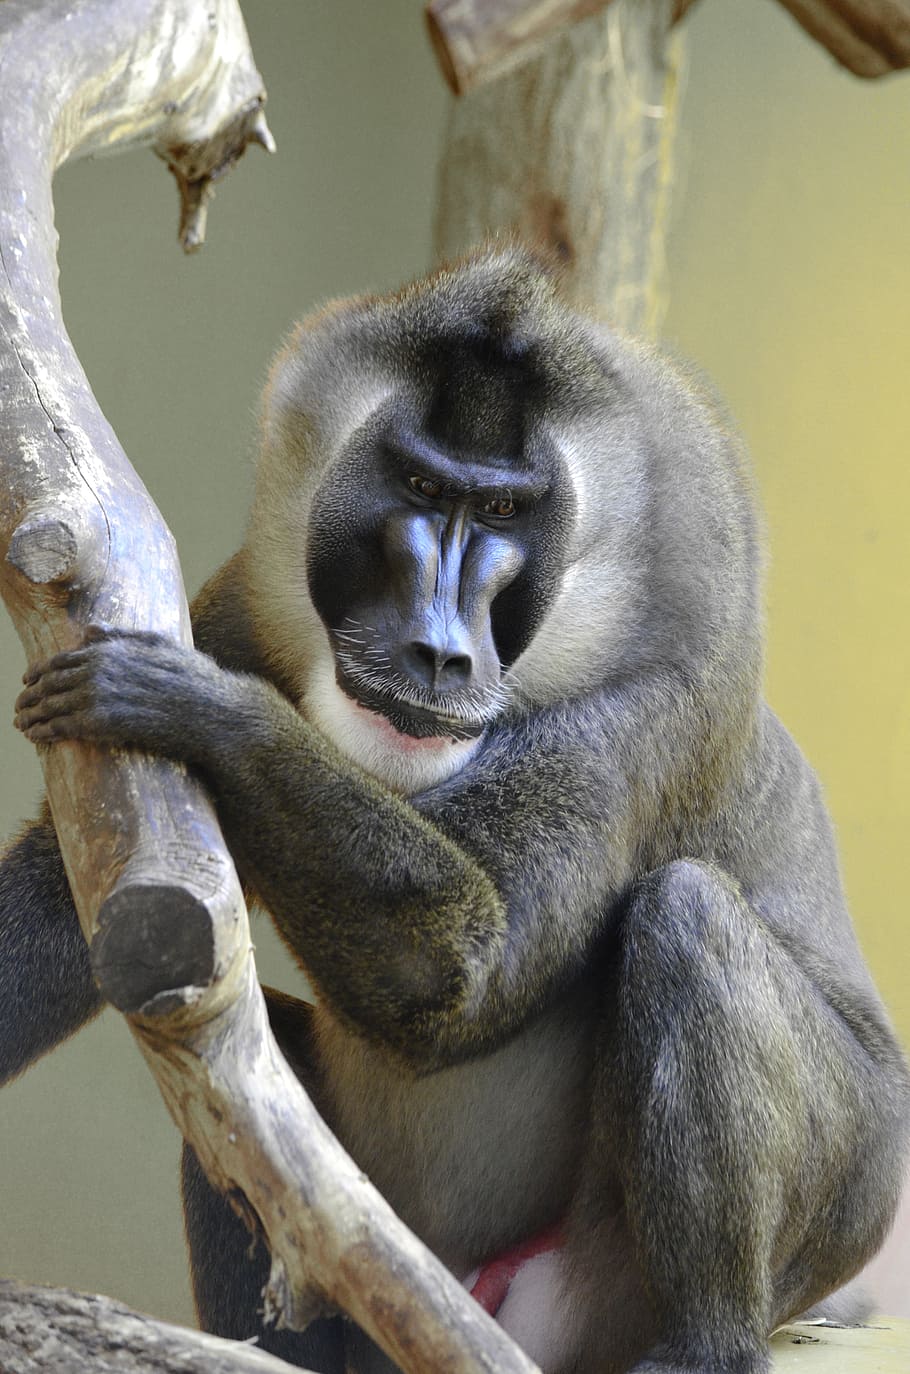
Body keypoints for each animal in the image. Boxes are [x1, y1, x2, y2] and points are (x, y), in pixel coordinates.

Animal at [3, 247, 909, 1374]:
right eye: (424, 489)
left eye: (508, 515)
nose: (439, 650)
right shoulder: (244, 606)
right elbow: (92, 904)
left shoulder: (665, 685)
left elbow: (466, 972)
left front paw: (205, 710)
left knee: (687, 913)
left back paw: (704, 1345)